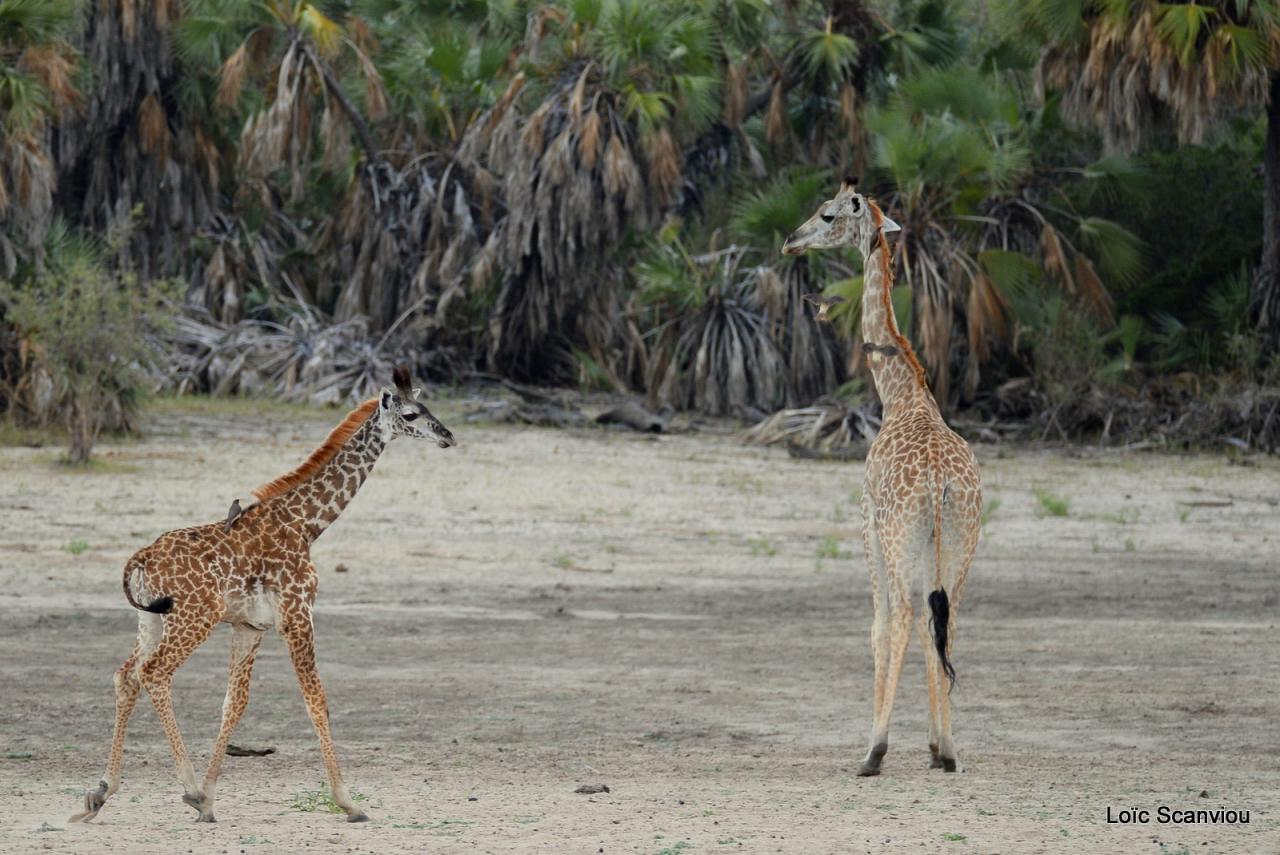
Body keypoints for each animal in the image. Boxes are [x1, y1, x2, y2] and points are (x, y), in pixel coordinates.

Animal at [71, 366, 455, 819]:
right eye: (411, 414)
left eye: (428, 407)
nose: (448, 436)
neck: (306, 524)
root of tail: (142, 557)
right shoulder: (298, 613)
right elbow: (316, 698)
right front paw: (347, 801)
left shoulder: (251, 626)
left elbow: (234, 703)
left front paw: (210, 799)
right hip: (192, 618)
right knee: (154, 673)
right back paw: (185, 787)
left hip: (150, 618)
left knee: (126, 674)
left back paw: (102, 791)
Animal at [778, 179, 977, 773]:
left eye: (827, 214)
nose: (790, 241)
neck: (901, 395)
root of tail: (940, 486)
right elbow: (933, 627)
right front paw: (935, 746)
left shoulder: (866, 523)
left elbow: (878, 627)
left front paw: (879, 743)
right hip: (960, 541)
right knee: (946, 619)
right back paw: (949, 751)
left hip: (897, 537)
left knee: (906, 616)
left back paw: (874, 751)